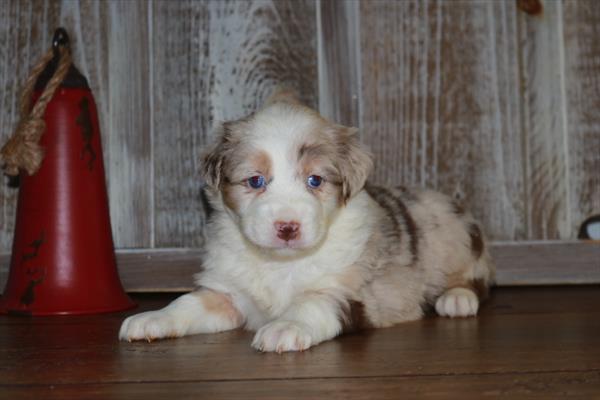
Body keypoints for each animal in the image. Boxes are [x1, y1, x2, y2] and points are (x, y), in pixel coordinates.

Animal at [119, 91, 494, 354]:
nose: (287, 227)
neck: (279, 264)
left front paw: (284, 327)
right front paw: (152, 318)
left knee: (477, 280)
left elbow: (310, 302)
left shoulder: (345, 291)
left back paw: (457, 299)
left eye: (315, 180)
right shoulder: (226, 292)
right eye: (255, 181)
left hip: (457, 240)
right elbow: (187, 302)